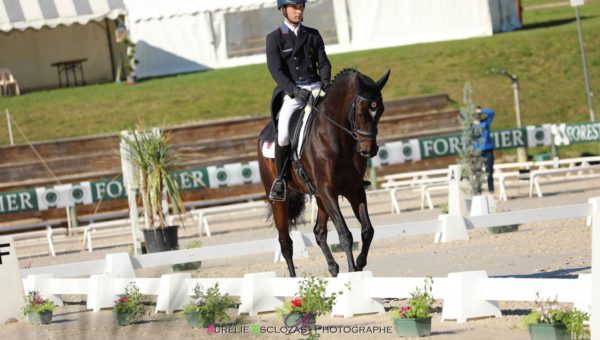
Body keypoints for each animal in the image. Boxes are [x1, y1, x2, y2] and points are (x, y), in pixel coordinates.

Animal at [256, 68, 390, 276]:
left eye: (381, 110)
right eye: (360, 112)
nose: (369, 150)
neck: (337, 137)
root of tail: (265, 132)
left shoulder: (355, 190)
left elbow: (368, 230)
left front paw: (359, 264)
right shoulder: (328, 191)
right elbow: (345, 234)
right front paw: (353, 270)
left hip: (319, 196)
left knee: (319, 232)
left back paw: (333, 269)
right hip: (280, 200)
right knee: (285, 243)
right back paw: (294, 279)